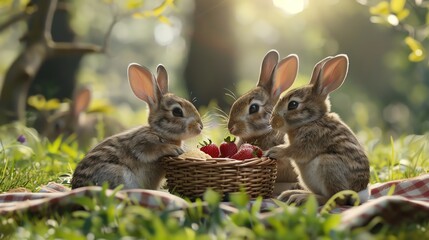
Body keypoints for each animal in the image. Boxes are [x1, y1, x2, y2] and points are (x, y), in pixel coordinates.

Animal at [70, 63, 204, 189]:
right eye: (177, 112)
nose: (200, 126)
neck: (160, 132)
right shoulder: (142, 143)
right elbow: (150, 150)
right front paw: (174, 149)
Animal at [264, 54, 368, 206]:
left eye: (293, 104)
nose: (273, 122)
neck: (312, 120)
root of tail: (358, 192)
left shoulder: (313, 139)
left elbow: (295, 150)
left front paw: (274, 151)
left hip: (328, 165)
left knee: (336, 198)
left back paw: (301, 198)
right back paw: (294, 194)